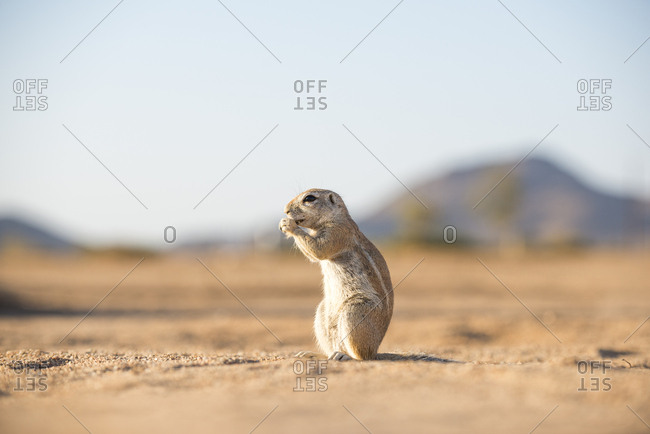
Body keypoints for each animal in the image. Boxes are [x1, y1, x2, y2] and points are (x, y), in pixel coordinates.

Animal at [279, 188, 393, 360]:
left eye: (309, 198)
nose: (285, 210)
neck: (336, 217)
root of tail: (376, 350)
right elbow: (313, 255)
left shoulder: (337, 232)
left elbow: (318, 249)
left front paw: (288, 224)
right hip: (322, 314)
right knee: (332, 347)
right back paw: (314, 354)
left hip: (354, 312)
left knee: (362, 355)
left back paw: (346, 356)